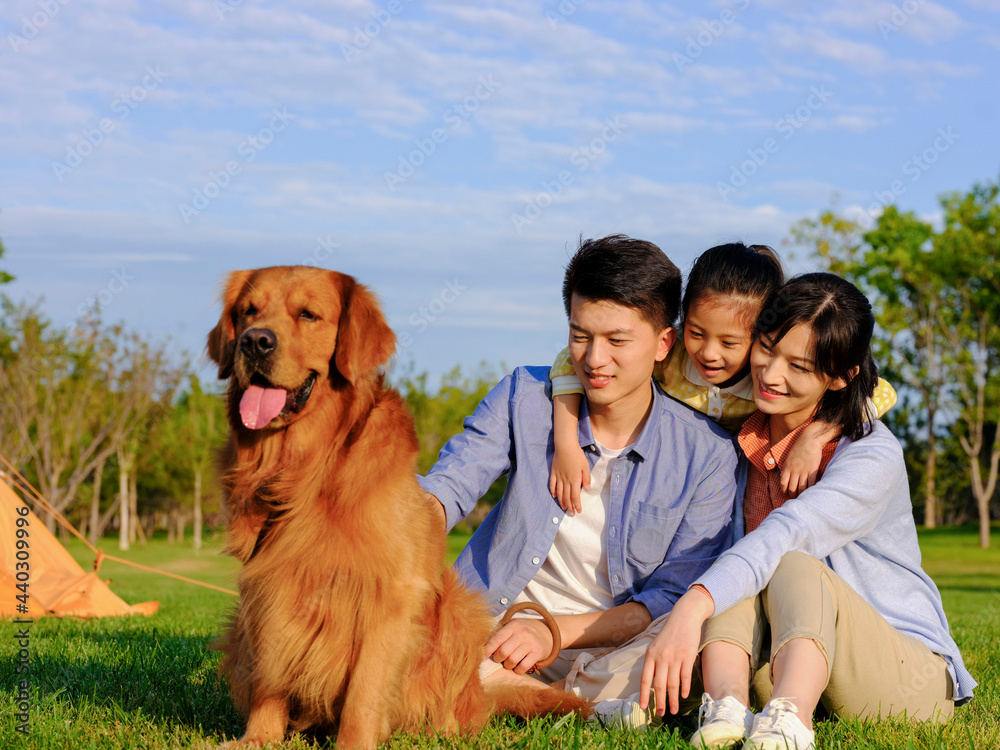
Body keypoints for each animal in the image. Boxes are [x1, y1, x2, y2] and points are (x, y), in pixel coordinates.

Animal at [207, 268, 588, 748]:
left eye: (308, 314)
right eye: (247, 311)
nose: (254, 342)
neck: (307, 471)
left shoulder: (392, 595)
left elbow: (364, 691)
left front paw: (353, 743)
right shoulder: (269, 586)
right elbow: (270, 673)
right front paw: (258, 738)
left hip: (459, 609)